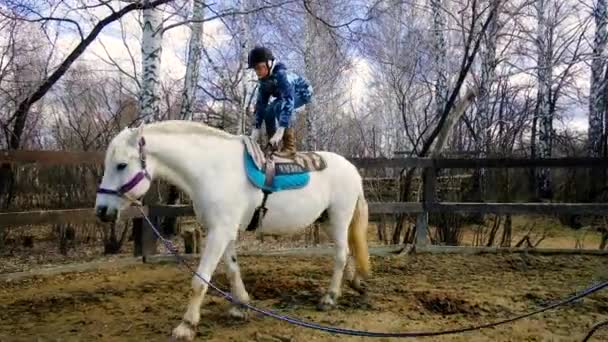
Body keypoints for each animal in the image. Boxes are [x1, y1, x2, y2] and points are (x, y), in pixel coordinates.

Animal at [95, 121, 370, 340]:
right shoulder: (223, 231)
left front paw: (187, 325)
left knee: (340, 255)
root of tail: (352, 169)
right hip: (327, 221)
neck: (212, 169)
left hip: (339, 218)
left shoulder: (218, 232)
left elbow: (200, 280)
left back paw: (330, 297)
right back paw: (353, 283)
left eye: (121, 165)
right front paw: (241, 306)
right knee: (348, 252)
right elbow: (232, 269)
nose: (101, 210)